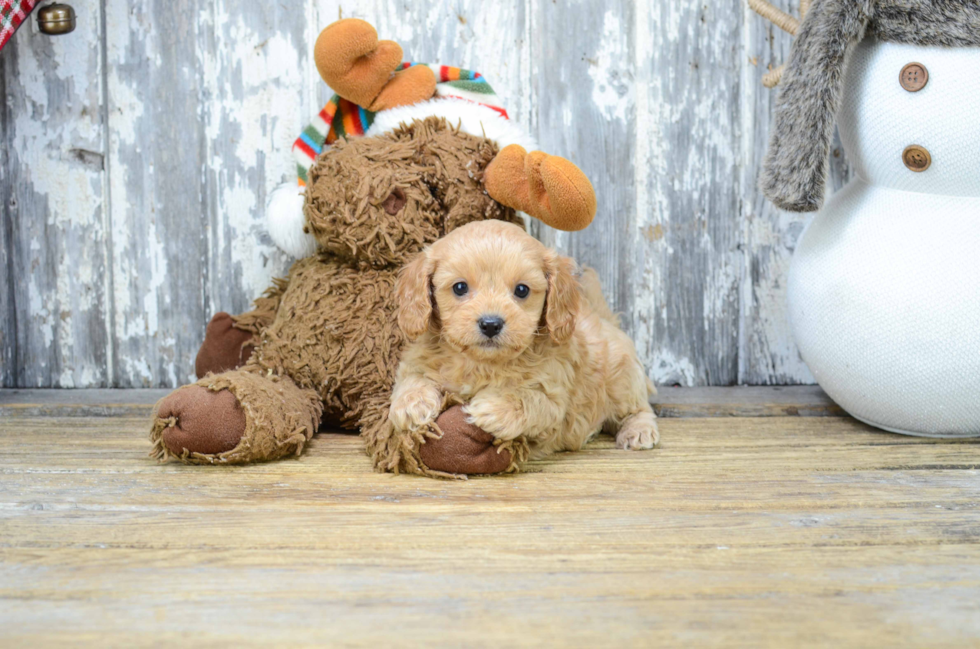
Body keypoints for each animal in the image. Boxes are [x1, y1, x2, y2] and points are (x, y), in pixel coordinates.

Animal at [388, 220, 660, 464]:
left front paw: (493, 407)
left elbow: (529, 399)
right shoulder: (416, 360)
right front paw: (411, 405)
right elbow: (412, 378)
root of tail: (604, 320)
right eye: (460, 287)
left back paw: (639, 430)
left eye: (522, 290)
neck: (482, 363)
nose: (490, 324)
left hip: (622, 378)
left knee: (639, 407)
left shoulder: (555, 397)